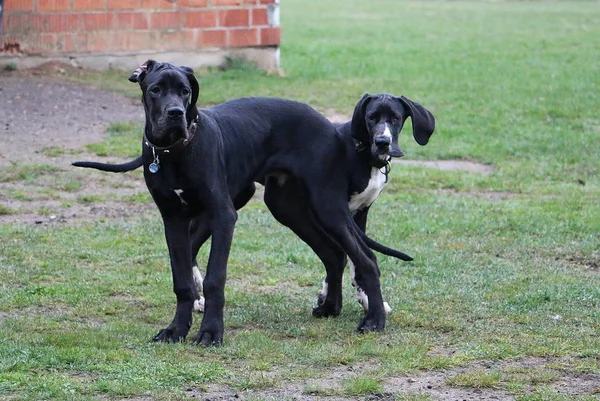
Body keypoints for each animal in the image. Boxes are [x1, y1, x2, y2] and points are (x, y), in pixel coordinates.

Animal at [74, 61, 412, 346]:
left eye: (185, 91)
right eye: (156, 89)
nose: (175, 113)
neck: (175, 151)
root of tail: (331, 126)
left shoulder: (223, 216)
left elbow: (215, 278)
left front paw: (211, 332)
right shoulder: (173, 219)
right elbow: (181, 280)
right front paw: (176, 329)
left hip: (326, 205)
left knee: (365, 257)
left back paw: (374, 320)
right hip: (288, 208)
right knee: (332, 253)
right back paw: (331, 308)